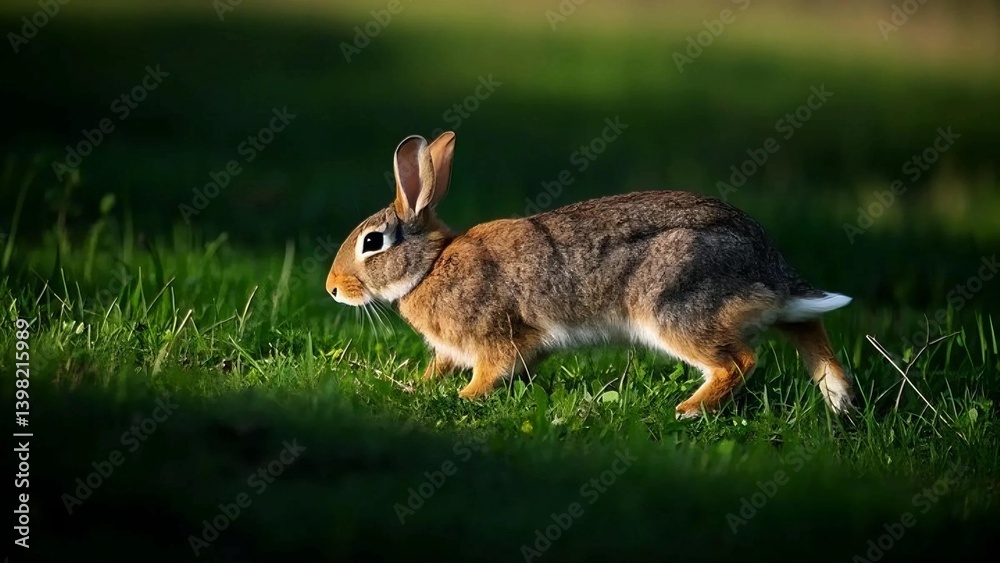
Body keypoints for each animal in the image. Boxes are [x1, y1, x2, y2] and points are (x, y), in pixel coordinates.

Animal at [326, 131, 857, 419]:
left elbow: (493, 368)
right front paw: (421, 384)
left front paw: (464, 396)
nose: (332, 289)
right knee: (807, 327)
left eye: (372, 242)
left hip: (674, 308)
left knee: (739, 361)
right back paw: (840, 402)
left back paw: (688, 409)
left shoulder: (496, 336)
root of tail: (768, 266)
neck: (430, 267)